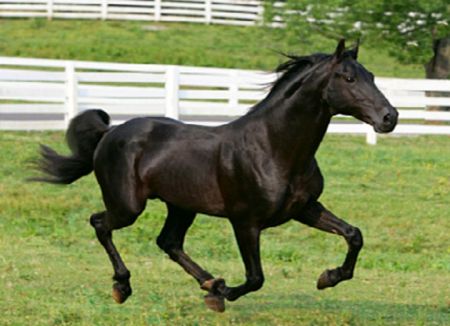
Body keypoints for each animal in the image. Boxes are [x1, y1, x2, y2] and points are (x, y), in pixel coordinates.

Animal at [37, 39, 400, 312]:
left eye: (371, 75)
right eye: (348, 78)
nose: (390, 117)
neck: (273, 148)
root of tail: (110, 132)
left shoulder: (305, 208)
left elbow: (354, 235)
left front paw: (328, 277)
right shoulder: (245, 221)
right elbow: (256, 278)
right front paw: (221, 296)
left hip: (181, 206)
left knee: (168, 242)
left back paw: (209, 281)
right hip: (128, 206)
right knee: (101, 223)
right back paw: (124, 286)